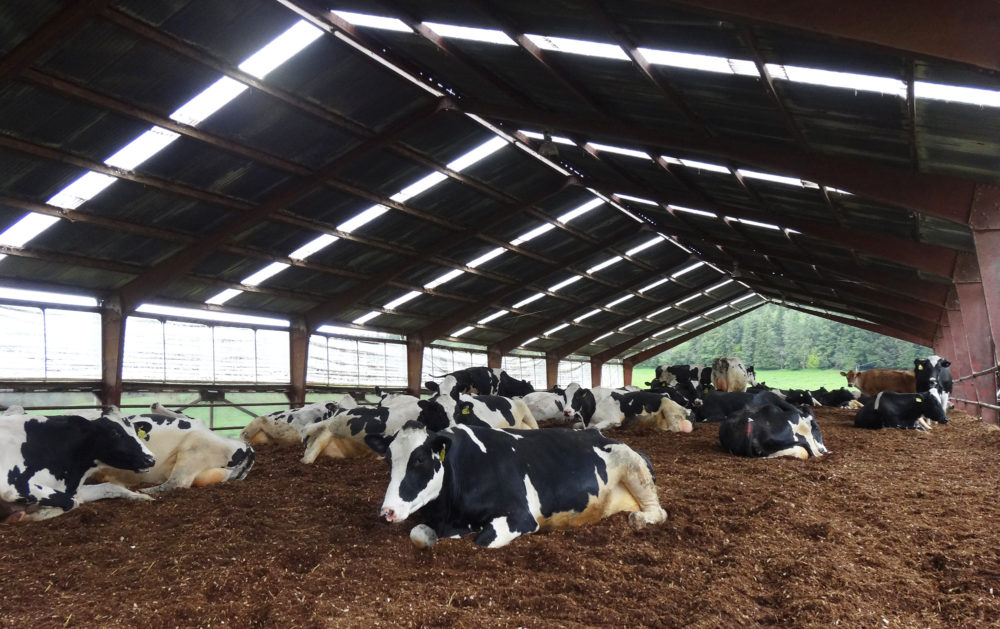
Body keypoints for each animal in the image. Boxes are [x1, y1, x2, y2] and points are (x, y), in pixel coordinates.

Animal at [0, 408, 156, 520]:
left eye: (136, 431)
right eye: (114, 433)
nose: (151, 459)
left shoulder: (74, 489)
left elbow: (110, 486)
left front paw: (141, 496)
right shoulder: (11, 487)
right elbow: (72, 502)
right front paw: (36, 513)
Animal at [364, 422, 668, 548]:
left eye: (419, 459)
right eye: (388, 459)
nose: (387, 511)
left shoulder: (521, 517)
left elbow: (482, 539)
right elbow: (417, 533)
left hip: (633, 467)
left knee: (659, 511)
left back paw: (639, 519)